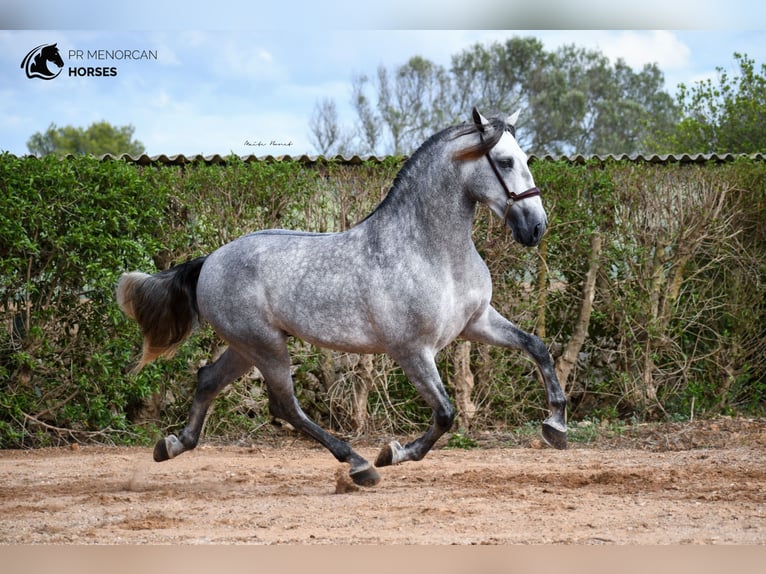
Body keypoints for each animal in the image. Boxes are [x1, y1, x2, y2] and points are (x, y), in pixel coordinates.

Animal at [117, 107, 568, 486]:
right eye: (505, 161)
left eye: (525, 159)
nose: (536, 227)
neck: (431, 251)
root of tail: (210, 260)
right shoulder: (412, 350)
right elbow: (445, 413)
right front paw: (394, 452)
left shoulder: (477, 322)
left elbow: (536, 346)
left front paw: (556, 427)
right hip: (264, 345)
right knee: (284, 406)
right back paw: (359, 464)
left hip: (247, 346)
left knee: (209, 379)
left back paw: (172, 444)